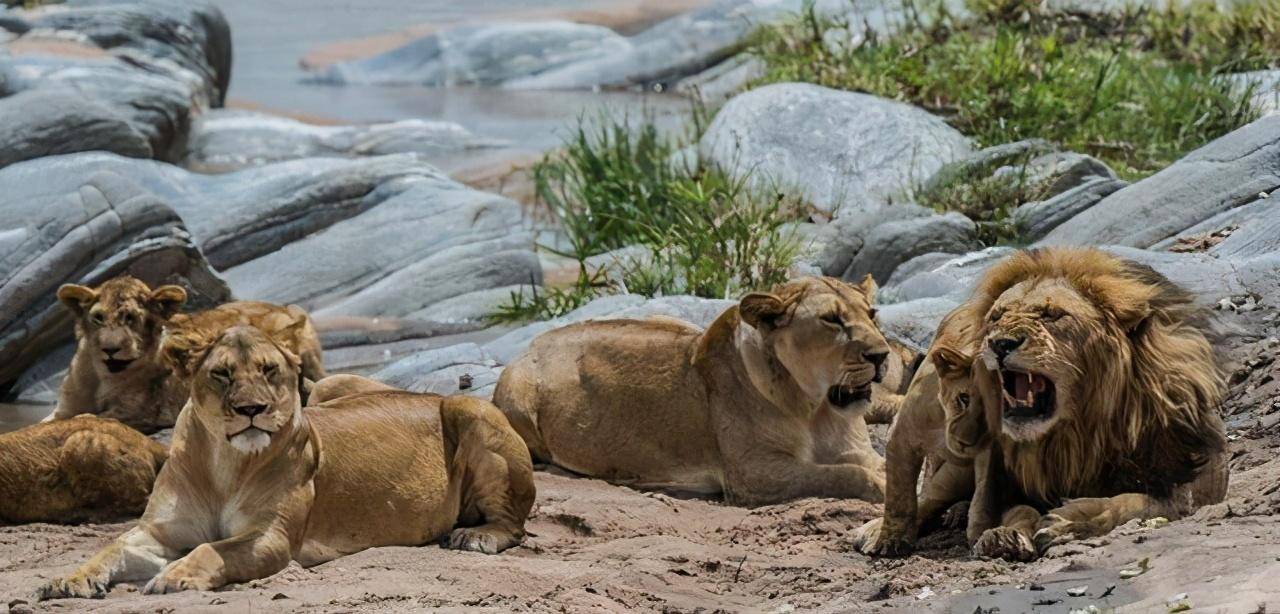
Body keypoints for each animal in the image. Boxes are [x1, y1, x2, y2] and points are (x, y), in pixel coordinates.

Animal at [37, 326, 529, 598]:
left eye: (269, 370)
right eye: (222, 374)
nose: (252, 409)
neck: (223, 463)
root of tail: (427, 393)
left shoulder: (271, 538)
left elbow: (212, 549)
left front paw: (174, 577)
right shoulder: (157, 533)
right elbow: (110, 549)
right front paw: (67, 581)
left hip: (471, 409)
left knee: (514, 523)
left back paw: (475, 537)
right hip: (330, 385)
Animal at [48, 276, 330, 434]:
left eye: (131, 318)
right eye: (98, 318)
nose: (110, 349)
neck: (102, 377)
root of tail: (283, 307)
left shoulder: (143, 411)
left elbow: (85, 418)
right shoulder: (64, 408)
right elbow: (49, 422)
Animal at [494, 276, 896, 506]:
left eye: (872, 313)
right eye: (831, 320)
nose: (881, 355)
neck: (816, 409)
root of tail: (532, 342)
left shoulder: (855, 450)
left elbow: (877, 462)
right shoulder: (754, 473)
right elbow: (844, 475)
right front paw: (882, 486)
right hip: (518, 396)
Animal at [962, 248, 1228, 560]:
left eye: (1052, 314)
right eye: (996, 316)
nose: (1000, 343)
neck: (1075, 438)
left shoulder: (1180, 487)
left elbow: (1129, 503)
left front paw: (1068, 523)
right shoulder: (1007, 488)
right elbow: (1018, 510)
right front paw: (1003, 535)